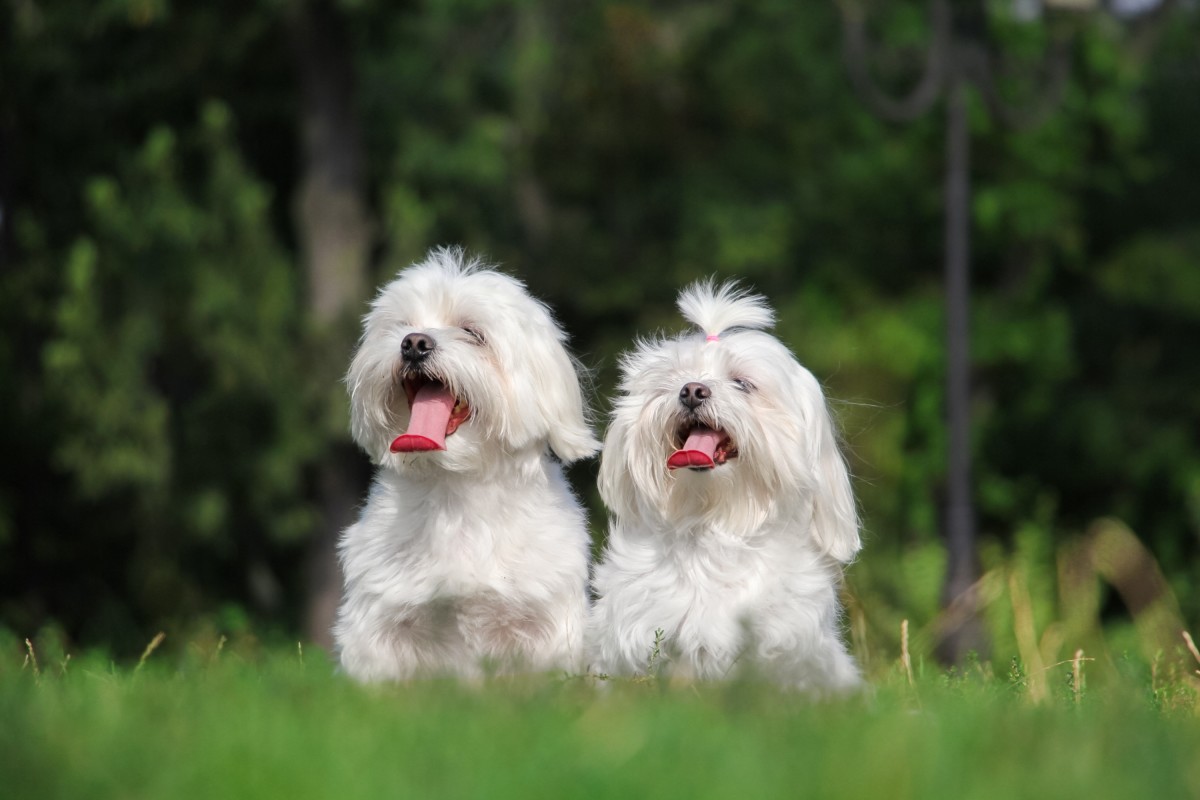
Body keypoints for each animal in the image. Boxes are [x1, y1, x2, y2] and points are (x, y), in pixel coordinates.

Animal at [333, 245, 600, 681]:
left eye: (473, 333)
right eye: (402, 326)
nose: (413, 343)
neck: (456, 489)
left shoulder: (544, 620)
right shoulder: (380, 619)